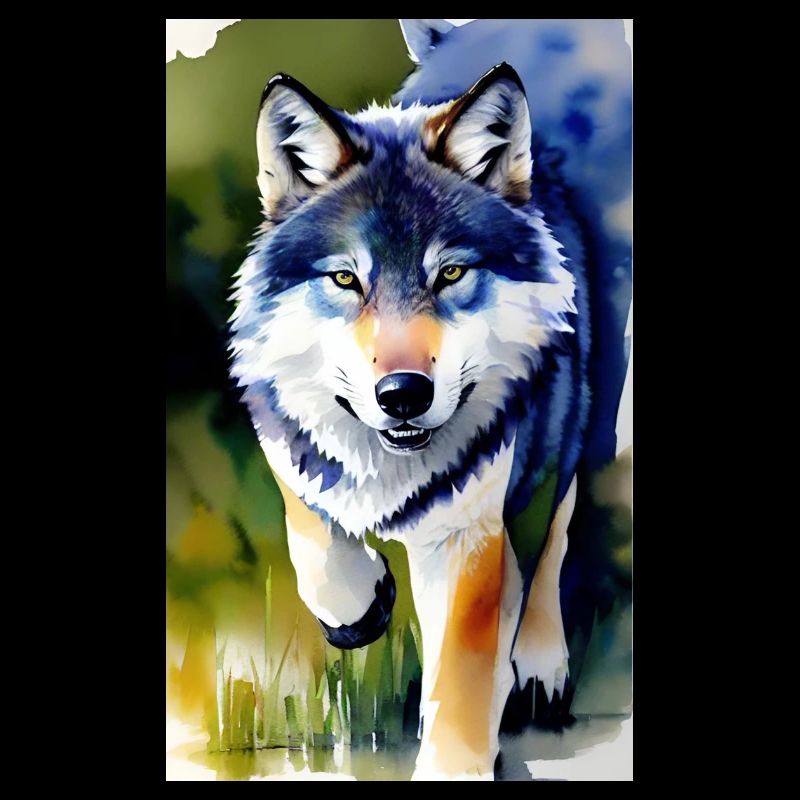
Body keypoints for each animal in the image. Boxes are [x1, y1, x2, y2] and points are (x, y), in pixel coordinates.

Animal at [229, 19, 631, 780]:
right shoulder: (285, 433)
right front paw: (360, 603)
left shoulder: (467, 532)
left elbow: (463, 676)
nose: (403, 395)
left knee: (557, 527)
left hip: (585, 405)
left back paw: (538, 661)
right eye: (346, 279)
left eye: (449, 273)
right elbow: (313, 534)